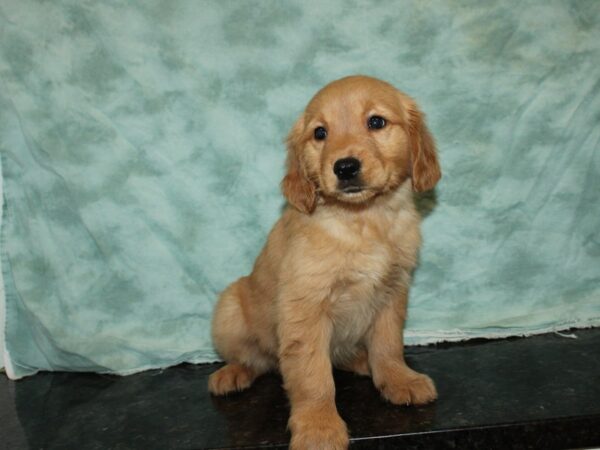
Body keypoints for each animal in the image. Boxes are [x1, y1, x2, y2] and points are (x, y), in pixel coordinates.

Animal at [210, 75, 440, 448]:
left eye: (376, 122)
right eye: (320, 133)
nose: (344, 167)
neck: (364, 220)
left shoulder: (393, 292)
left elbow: (388, 345)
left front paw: (398, 379)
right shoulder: (305, 305)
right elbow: (312, 376)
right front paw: (318, 426)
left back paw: (363, 361)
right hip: (229, 309)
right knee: (256, 359)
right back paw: (232, 373)